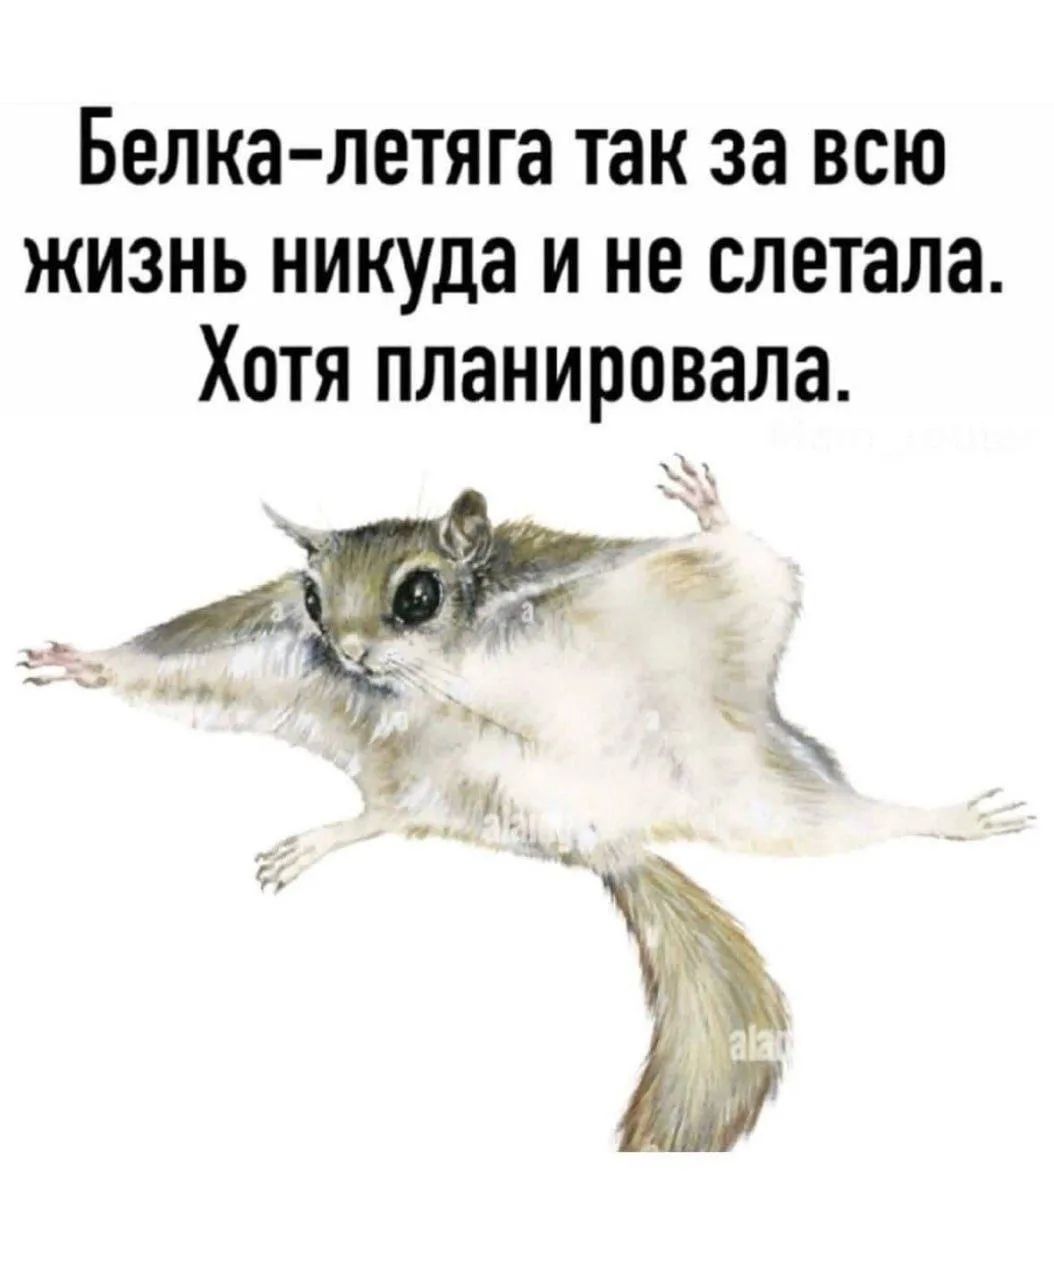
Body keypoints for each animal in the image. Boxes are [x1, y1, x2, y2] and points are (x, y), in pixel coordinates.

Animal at [20, 456, 1033, 1152]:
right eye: (310, 598)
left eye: (417, 594)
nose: (343, 651)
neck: (448, 665)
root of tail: (605, 839)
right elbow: (175, 656)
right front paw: (89, 663)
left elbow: (747, 564)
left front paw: (709, 511)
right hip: (439, 783)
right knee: (385, 816)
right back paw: (319, 837)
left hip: (760, 792)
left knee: (855, 822)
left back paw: (942, 818)